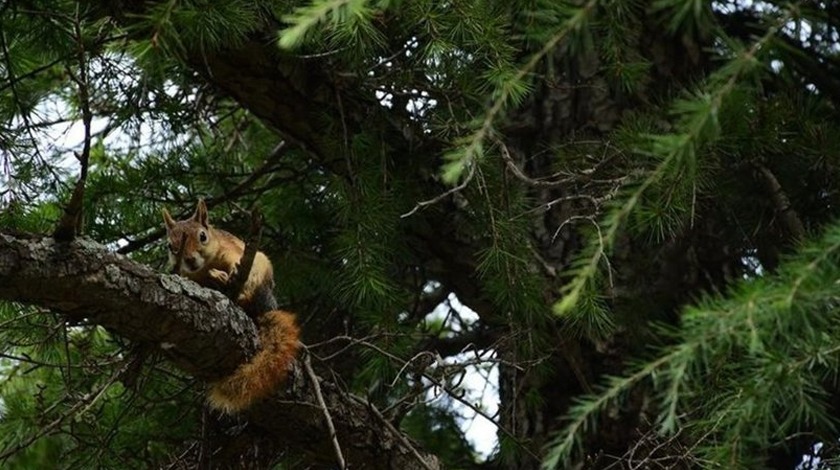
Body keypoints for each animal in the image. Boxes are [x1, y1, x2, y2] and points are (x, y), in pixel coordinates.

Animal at [160, 200, 298, 414]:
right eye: (169, 245)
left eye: (202, 236)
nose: (189, 259)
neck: (206, 266)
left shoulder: (231, 250)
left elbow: (235, 261)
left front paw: (227, 273)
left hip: (260, 271)